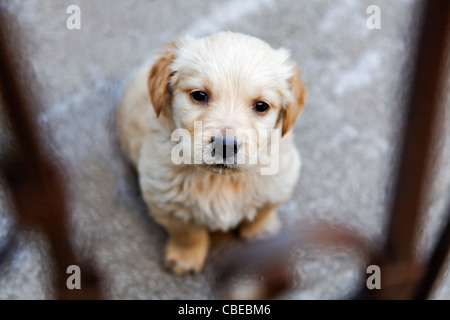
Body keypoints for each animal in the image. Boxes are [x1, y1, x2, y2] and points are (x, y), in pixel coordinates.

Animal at [115, 31, 306, 274]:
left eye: (261, 106)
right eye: (199, 95)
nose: (226, 146)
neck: (220, 181)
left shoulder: (281, 180)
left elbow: (262, 212)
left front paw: (262, 233)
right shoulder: (164, 199)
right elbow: (187, 232)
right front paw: (185, 257)